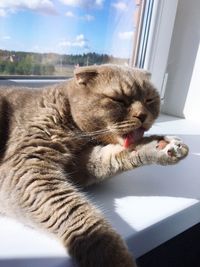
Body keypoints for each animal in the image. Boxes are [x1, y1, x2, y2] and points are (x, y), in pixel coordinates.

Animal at [0, 65, 188, 267]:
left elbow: (110, 158)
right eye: (118, 100)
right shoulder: (27, 166)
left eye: (149, 100)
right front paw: (119, 260)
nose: (142, 115)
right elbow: (84, 223)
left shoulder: (80, 165)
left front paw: (163, 146)